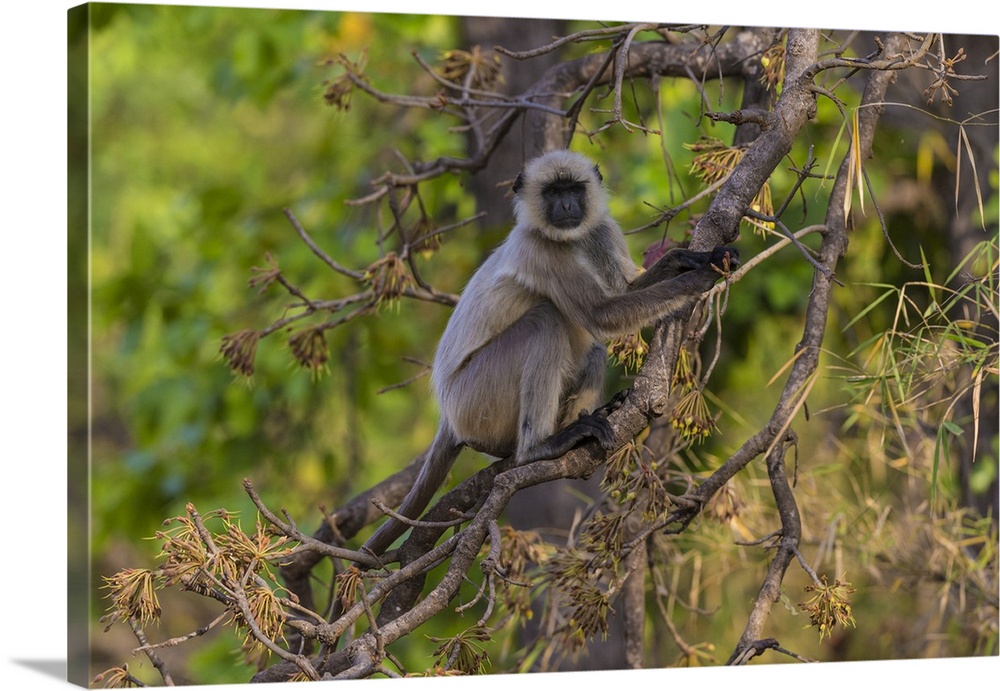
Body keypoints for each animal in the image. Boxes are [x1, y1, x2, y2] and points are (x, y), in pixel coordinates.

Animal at [364, 150, 740, 556]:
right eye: (552, 192)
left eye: (573, 189)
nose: (566, 206)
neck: (568, 240)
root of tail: (449, 414)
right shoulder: (539, 248)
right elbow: (601, 313)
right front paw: (698, 278)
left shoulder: (600, 231)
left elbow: (624, 290)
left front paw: (691, 258)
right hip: (475, 398)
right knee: (547, 320)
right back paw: (540, 447)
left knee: (591, 348)